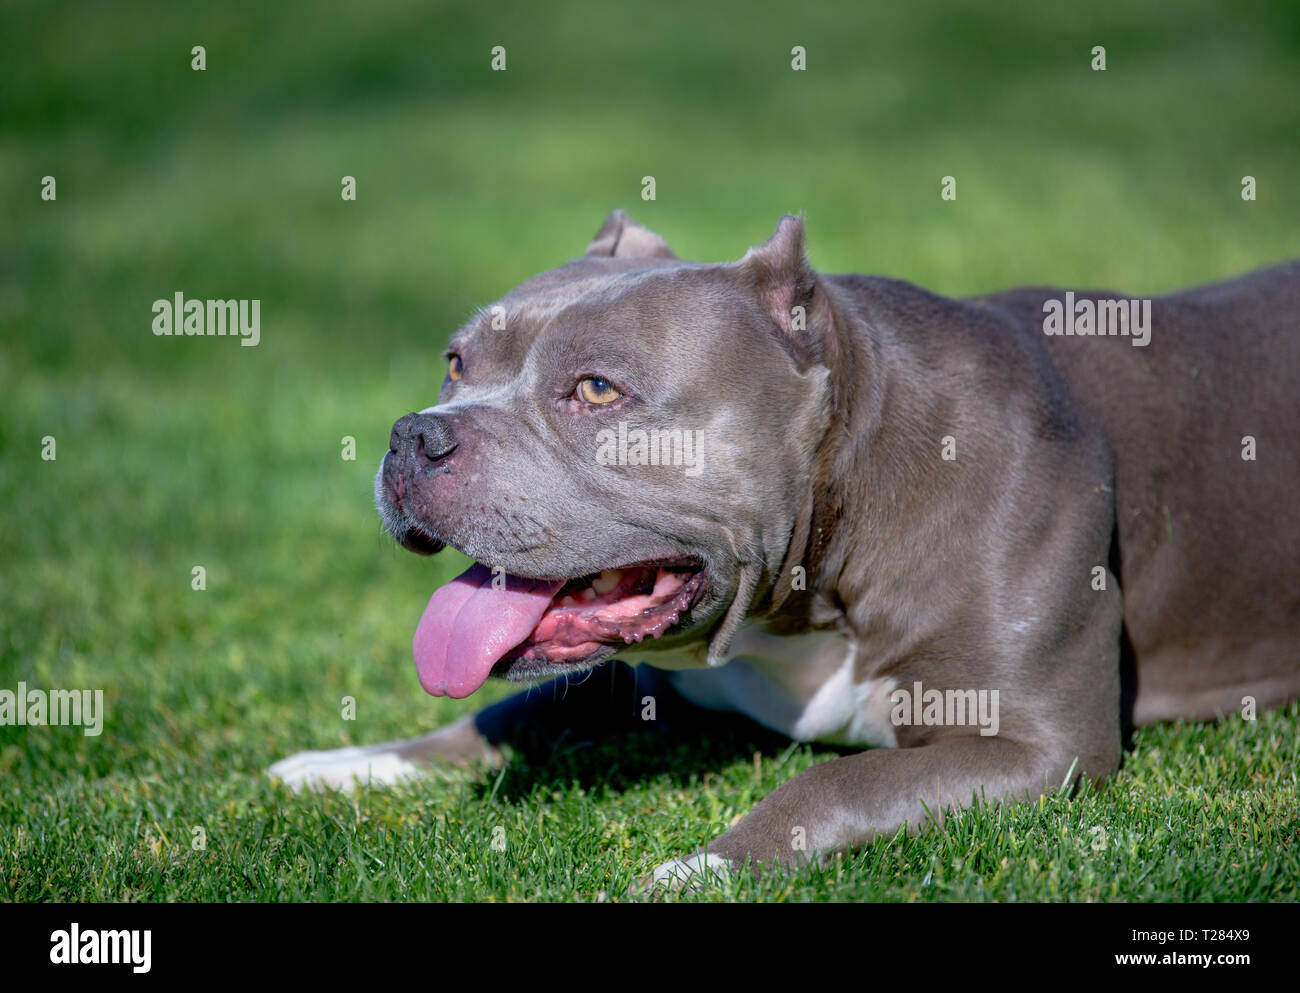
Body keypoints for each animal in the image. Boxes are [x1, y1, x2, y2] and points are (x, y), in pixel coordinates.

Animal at [266, 209, 1300, 883]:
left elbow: (831, 783)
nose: (413, 435)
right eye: (455, 362)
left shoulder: (1039, 744)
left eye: (597, 389)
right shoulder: (645, 687)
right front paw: (355, 760)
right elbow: (505, 714)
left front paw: (700, 868)